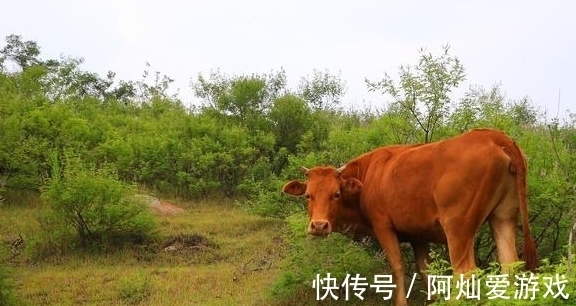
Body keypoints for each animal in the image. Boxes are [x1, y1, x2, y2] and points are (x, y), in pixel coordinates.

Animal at [284, 128, 540, 306]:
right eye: (308, 195)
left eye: (336, 194)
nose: (318, 226)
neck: (370, 176)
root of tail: (493, 135)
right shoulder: (418, 234)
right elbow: (426, 271)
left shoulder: (383, 226)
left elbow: (397, 267)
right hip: (503, 217)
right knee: (509, 266)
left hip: (458, 227)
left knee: (464, 272)